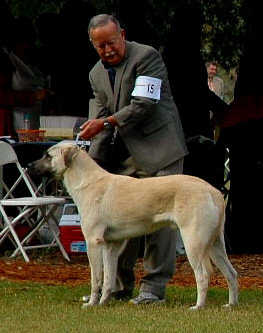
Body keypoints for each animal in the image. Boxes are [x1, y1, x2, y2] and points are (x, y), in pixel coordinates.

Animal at [28, 143, 239, 308]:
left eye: (48, 155)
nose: (29, 165)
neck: (87, 181)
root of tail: (213, 191)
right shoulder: (110, 245)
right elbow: (108, 279)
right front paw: (103, 303)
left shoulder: (93, 242)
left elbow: (96, 279)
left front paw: (92, 303)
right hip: (215, 244)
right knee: (232, 274)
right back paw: (231, 305)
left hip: (193, 242)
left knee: (203, 275)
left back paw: (198, 306)